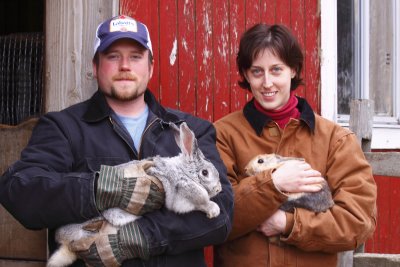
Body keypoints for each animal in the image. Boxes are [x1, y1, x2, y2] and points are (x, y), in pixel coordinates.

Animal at [47, 123, 222, 267]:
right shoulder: (187, 192)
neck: (185, 172)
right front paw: (214, 210)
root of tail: (65, 240)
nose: (219, 188)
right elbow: (202, 201)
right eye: (205, 173)